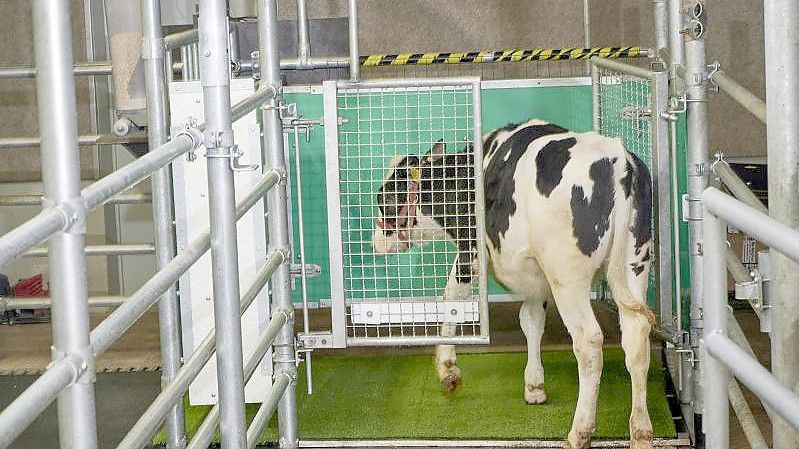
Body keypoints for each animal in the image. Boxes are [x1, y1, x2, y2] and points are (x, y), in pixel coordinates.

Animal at [374, 119, 656, 448]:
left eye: (382, 198)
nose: (375, 242)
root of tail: (616, 157)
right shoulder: (534, 276)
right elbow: (531, 321)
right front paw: (534, 386)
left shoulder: (471, 252)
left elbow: (453, 297)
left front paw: (447, 369)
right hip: (634, 264)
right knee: (636, 338)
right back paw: (641, 431)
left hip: (567, 275)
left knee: (588, 342)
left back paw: (580, 432)